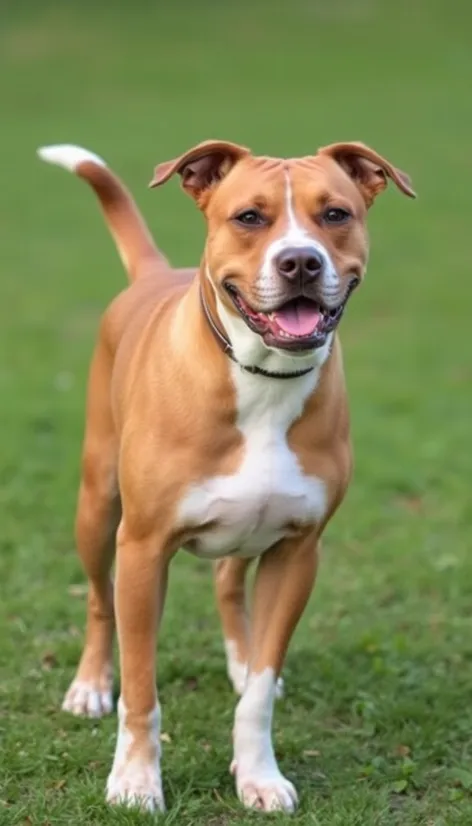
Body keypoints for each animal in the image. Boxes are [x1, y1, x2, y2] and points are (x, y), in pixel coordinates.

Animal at [37, 137, 412, 812]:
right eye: (249, 217)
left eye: (335, 214)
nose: (300, 262)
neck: (262, 378)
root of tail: (154, 274)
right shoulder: (143, 550)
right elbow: (142, 687)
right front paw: (134, 781)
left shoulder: (298, 552)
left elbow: (259, 691)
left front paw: (258, 774)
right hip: (97, 506)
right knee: (100, 600)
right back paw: (89, 685)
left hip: (249, 528)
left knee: (228, 584)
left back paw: (237, 657)